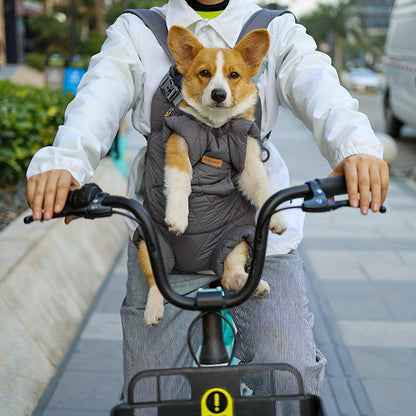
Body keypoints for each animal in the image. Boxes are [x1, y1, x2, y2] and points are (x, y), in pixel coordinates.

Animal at [138, 26, 288, 326]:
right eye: (204, 73)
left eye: (234, 75)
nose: (218, 94)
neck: (216, 130)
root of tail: (200, 270)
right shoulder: (178, 149)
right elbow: (181, 183)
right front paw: (178, 218)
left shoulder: (249, 162)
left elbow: (263, 189)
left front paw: (277, 219)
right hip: (149, 246)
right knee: (156, 282)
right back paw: (153, 309)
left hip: (236, 241)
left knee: (231, 276)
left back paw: (254, 284)